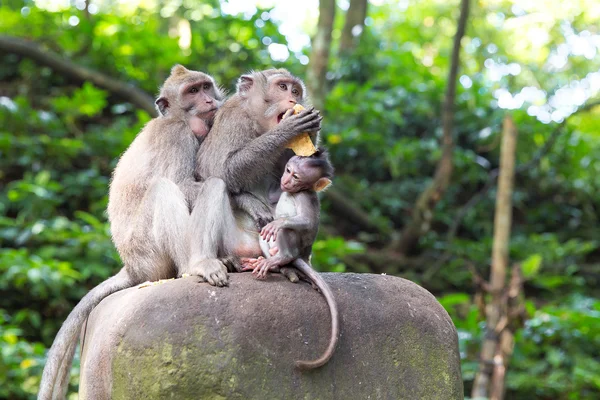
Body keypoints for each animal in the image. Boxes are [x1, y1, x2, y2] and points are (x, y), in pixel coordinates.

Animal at [37, 65, 225, 400]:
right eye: (192, 92)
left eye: (206, 87)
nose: (208, 100)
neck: (177, 119)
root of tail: (131, 268)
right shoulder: (177, 137)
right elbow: (183, 184)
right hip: (146, 251)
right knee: (164, 189)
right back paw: (193, 267)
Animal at [190, 70, 324, 286]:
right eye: (282, 87)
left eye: (295, 90)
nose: (293, 99)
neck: (259, 124)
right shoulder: (233, 119)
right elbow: (218, 170)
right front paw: (287, 129)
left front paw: (310, 133)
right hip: (236, 243)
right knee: (214, 184)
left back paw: (287, 264)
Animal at [241, 152, 340, 370]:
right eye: (288, 170)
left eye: (296, 177)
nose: (285, 181)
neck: (293, 192)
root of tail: (300, 255)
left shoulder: (304, 197)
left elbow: (306, 221)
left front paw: (278, 222)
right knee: (264, 235)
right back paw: (271, 264)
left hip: (295, 245)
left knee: (284, 230)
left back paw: (282, 256)